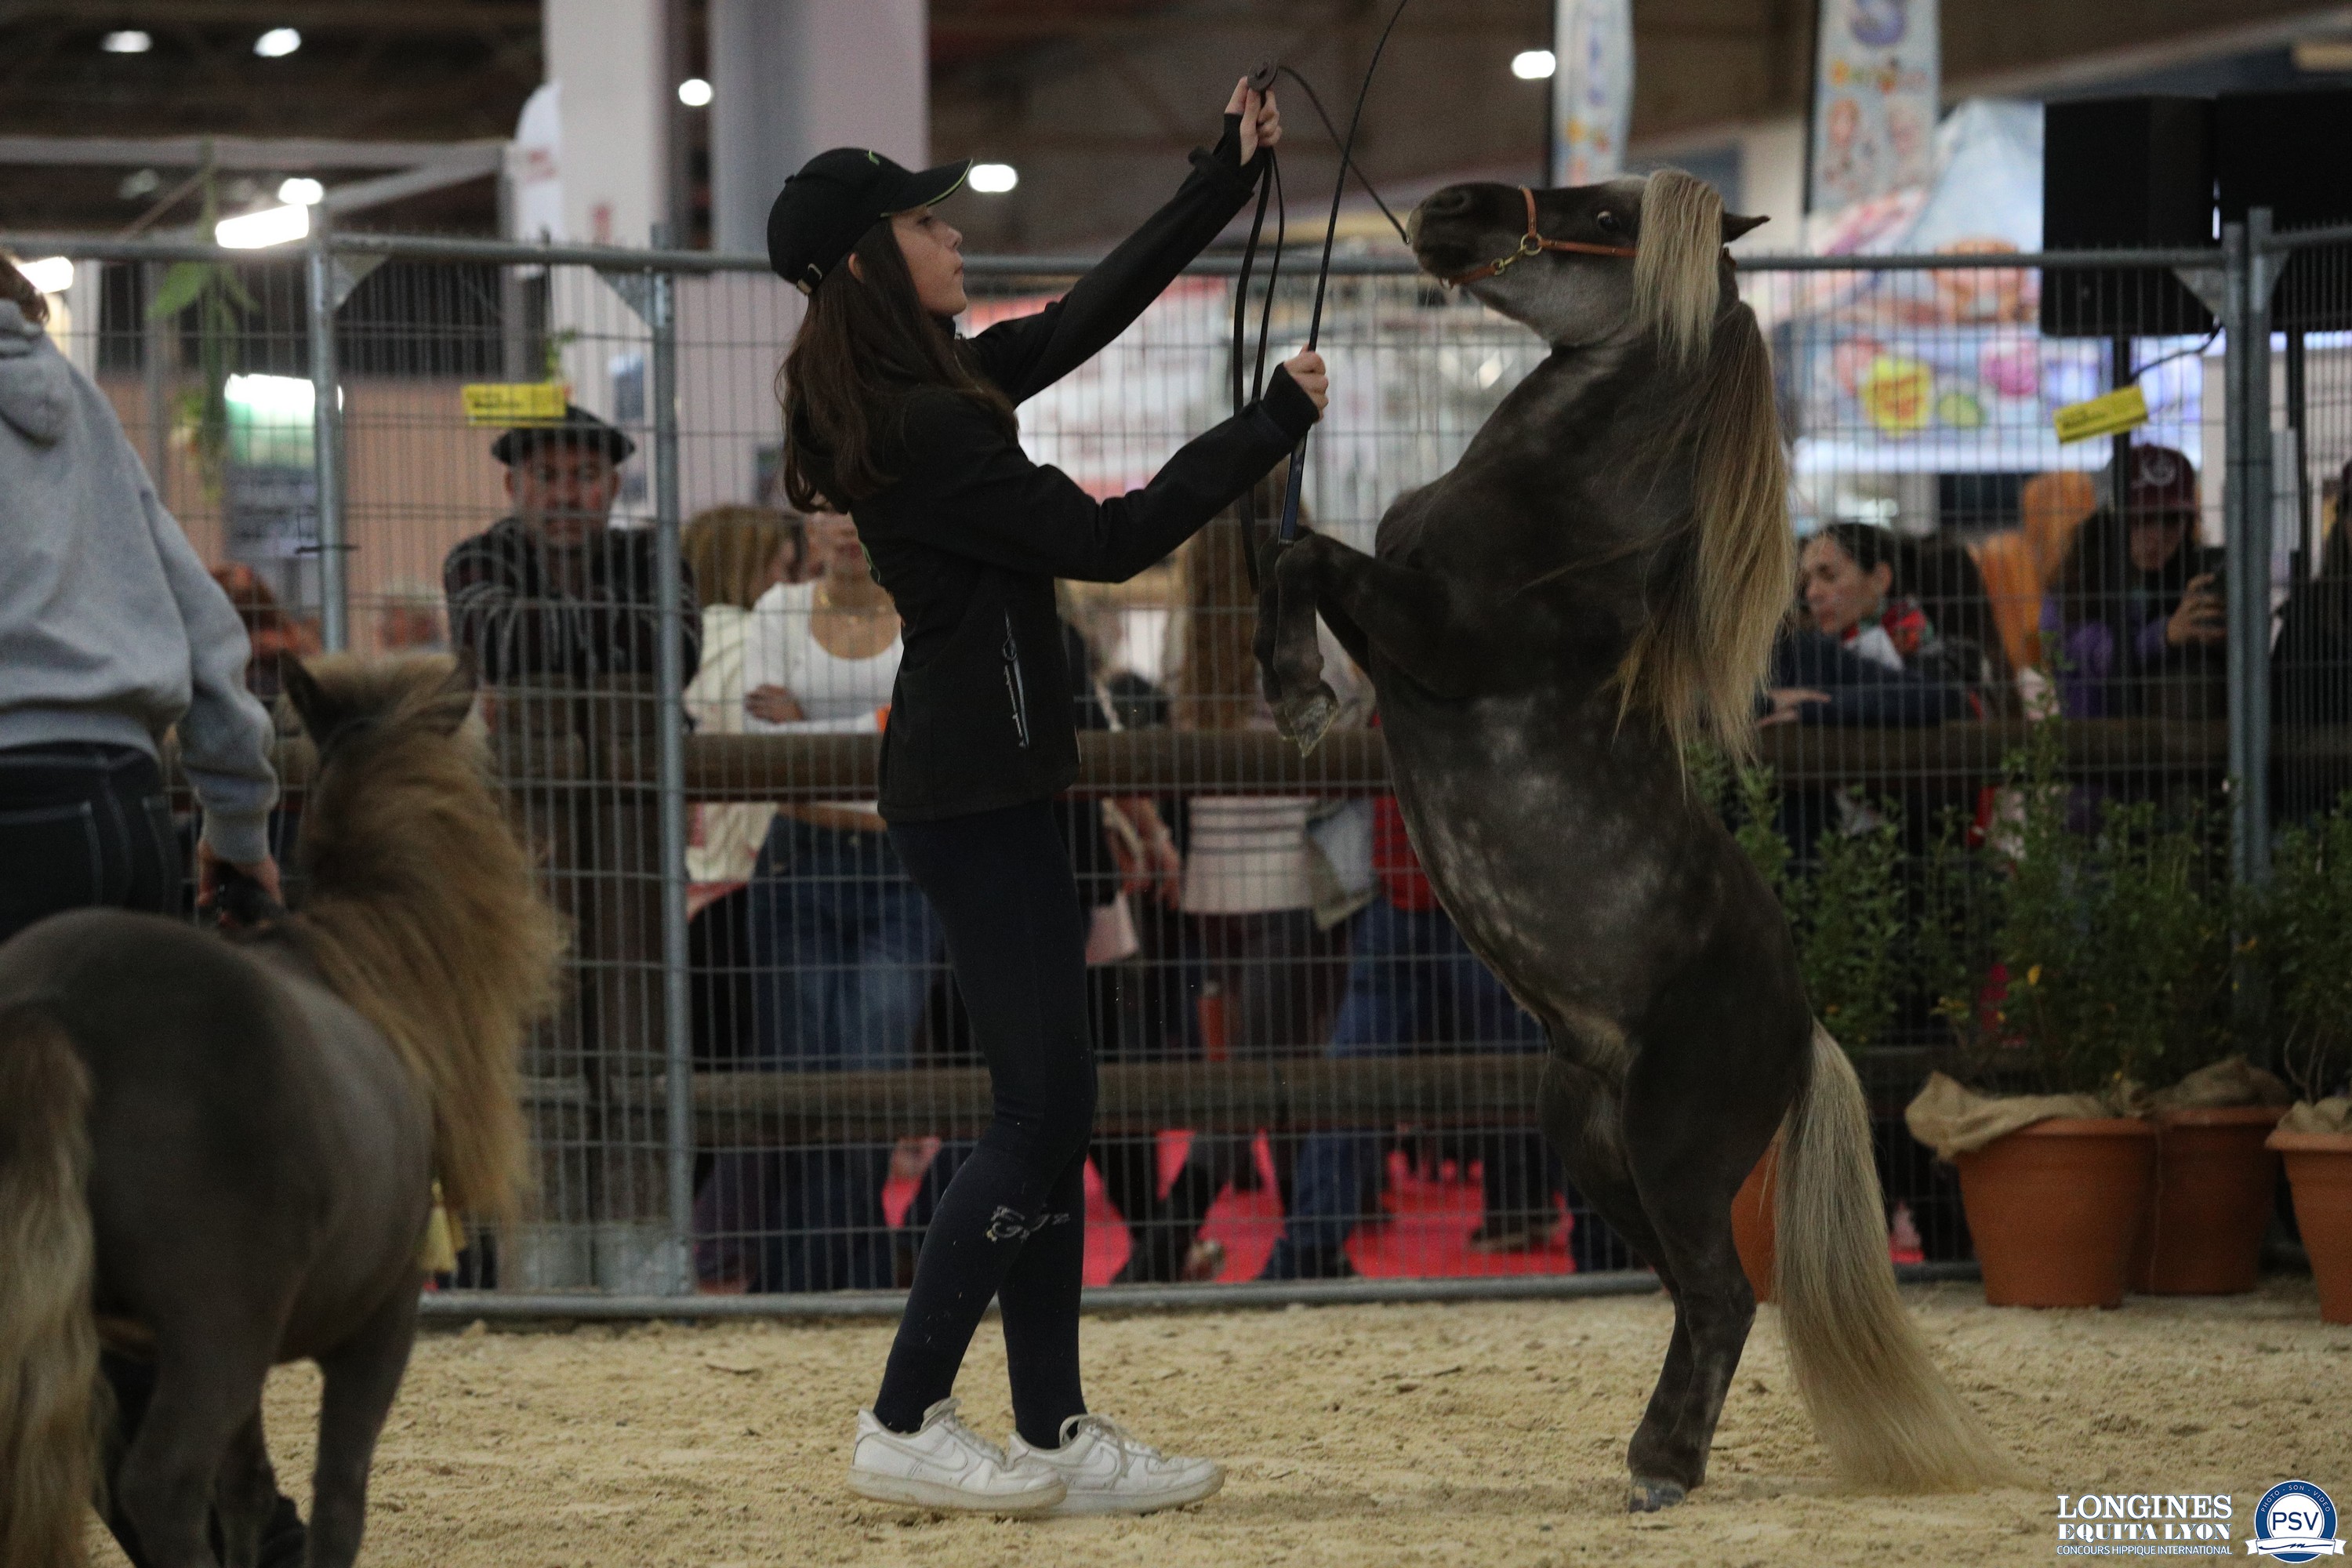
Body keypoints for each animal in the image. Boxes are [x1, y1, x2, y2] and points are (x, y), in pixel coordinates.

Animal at [0, 658, 560, 1561]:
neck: (360, 958)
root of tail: (49, 1007)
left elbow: (249, 1489)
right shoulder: (380, 1320)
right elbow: (340, 1490)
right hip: (214, 1328)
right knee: (162, 1482)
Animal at [1270, 171, 2023, 1504]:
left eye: (1608, 218)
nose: (1450, 207)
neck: (1561, 522)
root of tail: (1801, 1031)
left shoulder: (1436, 641)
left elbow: (1310, 555)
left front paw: (1298, 690)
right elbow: (1306, 560)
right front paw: (1295, 687)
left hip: (1671, 1150)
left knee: (1723, 1297)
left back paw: (1661, 1470)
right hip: (1596, 1147)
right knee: (1697, 1297)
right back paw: (1663, 1455)